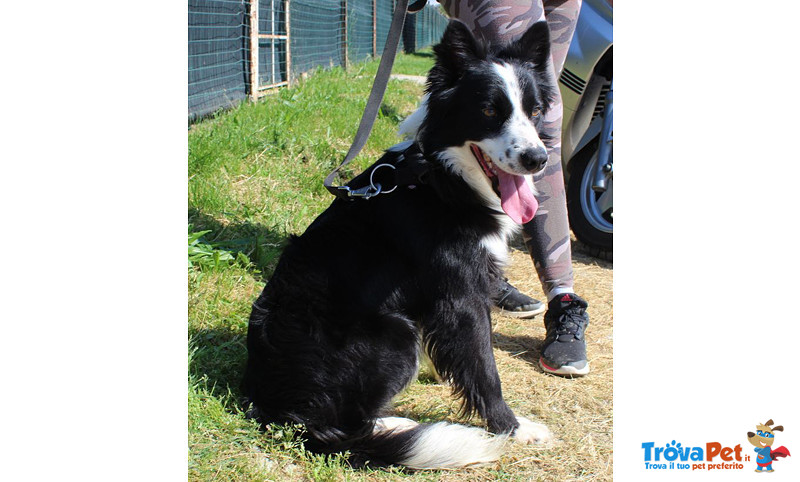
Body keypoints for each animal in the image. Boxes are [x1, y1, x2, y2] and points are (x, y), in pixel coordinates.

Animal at [242, 20, 556, 468]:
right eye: (489, 111)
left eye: (534, 111)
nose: (537, 159)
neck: (439, 177)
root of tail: (274, 405)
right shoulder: (463, 295)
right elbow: (484, 368)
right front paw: (513, 428)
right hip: (393, 332)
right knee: (345, 426)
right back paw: (401, 427)